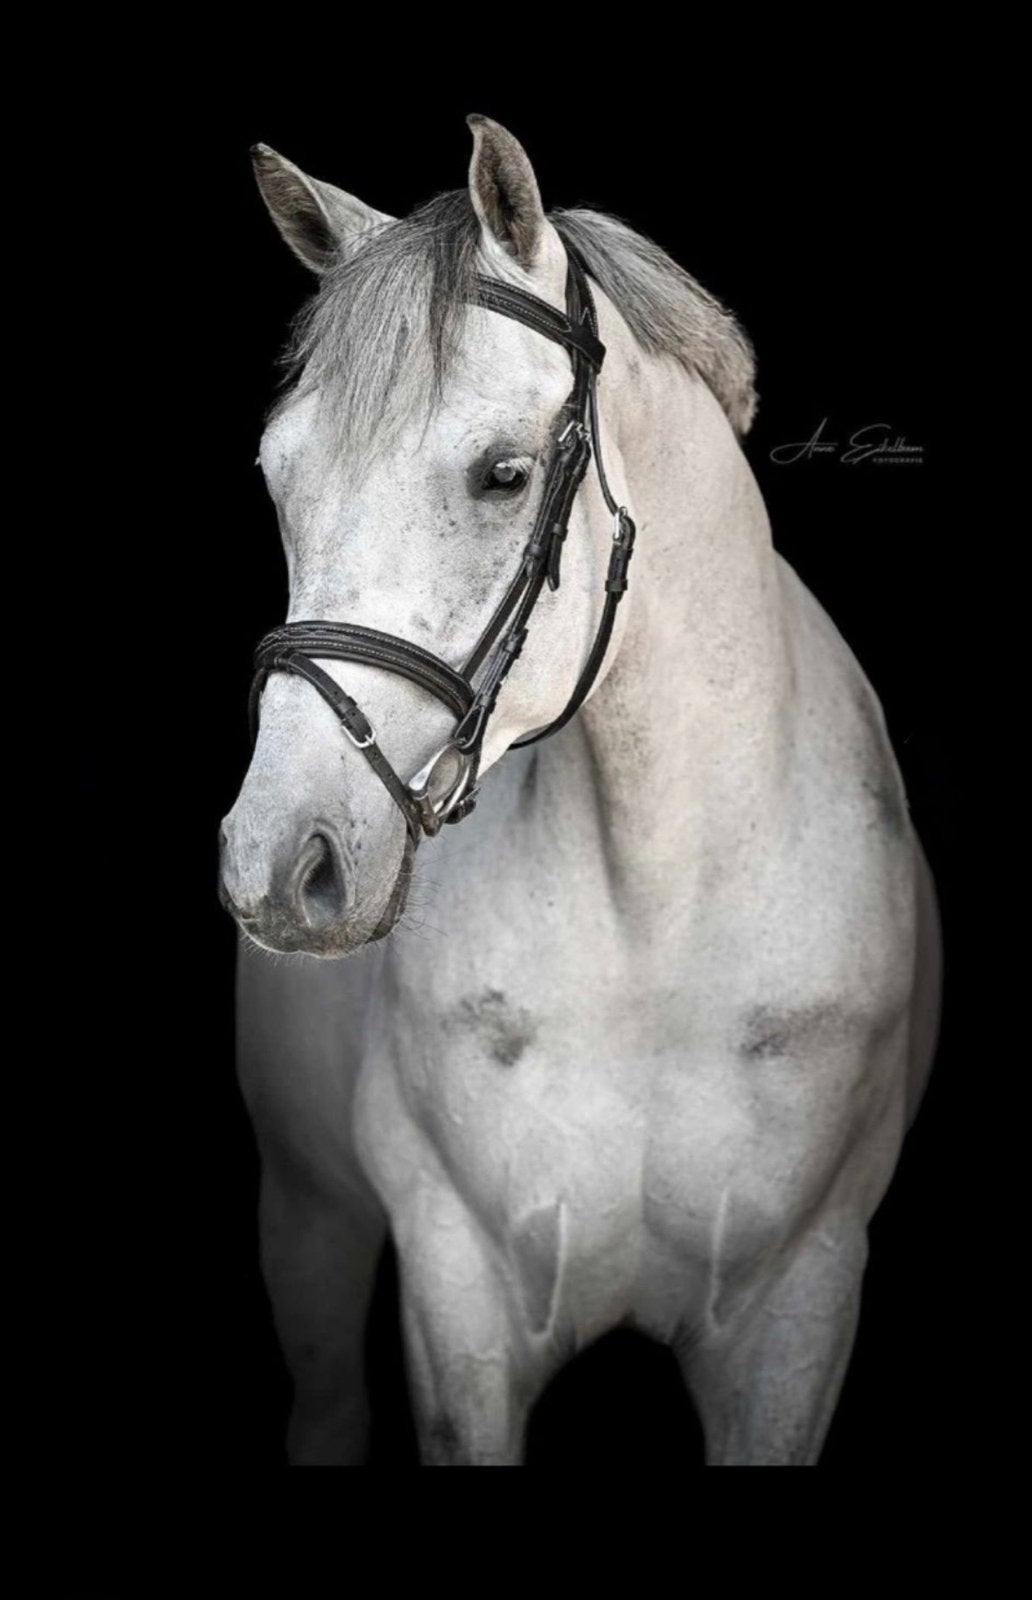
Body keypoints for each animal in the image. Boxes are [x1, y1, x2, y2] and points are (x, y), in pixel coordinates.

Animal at [218, 113, 943, 1466]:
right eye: (279, 476)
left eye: (504, 474)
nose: (277, 864)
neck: (655, 911)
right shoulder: (457, 1288)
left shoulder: (802, 1300)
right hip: (308, 1213)